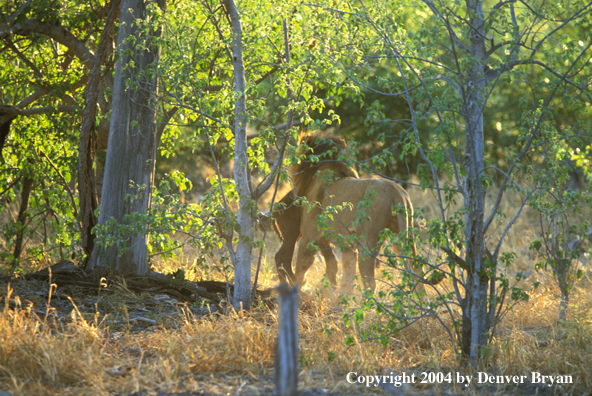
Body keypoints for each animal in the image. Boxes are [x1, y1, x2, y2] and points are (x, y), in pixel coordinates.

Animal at [274, 133, 440, 290]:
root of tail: (396, 192)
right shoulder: (346, 245)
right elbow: (344, 274)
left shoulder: (309, 236)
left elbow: (301, 269)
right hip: (404, 234)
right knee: (416, 271)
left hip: (368, 241)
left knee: (370, 282)